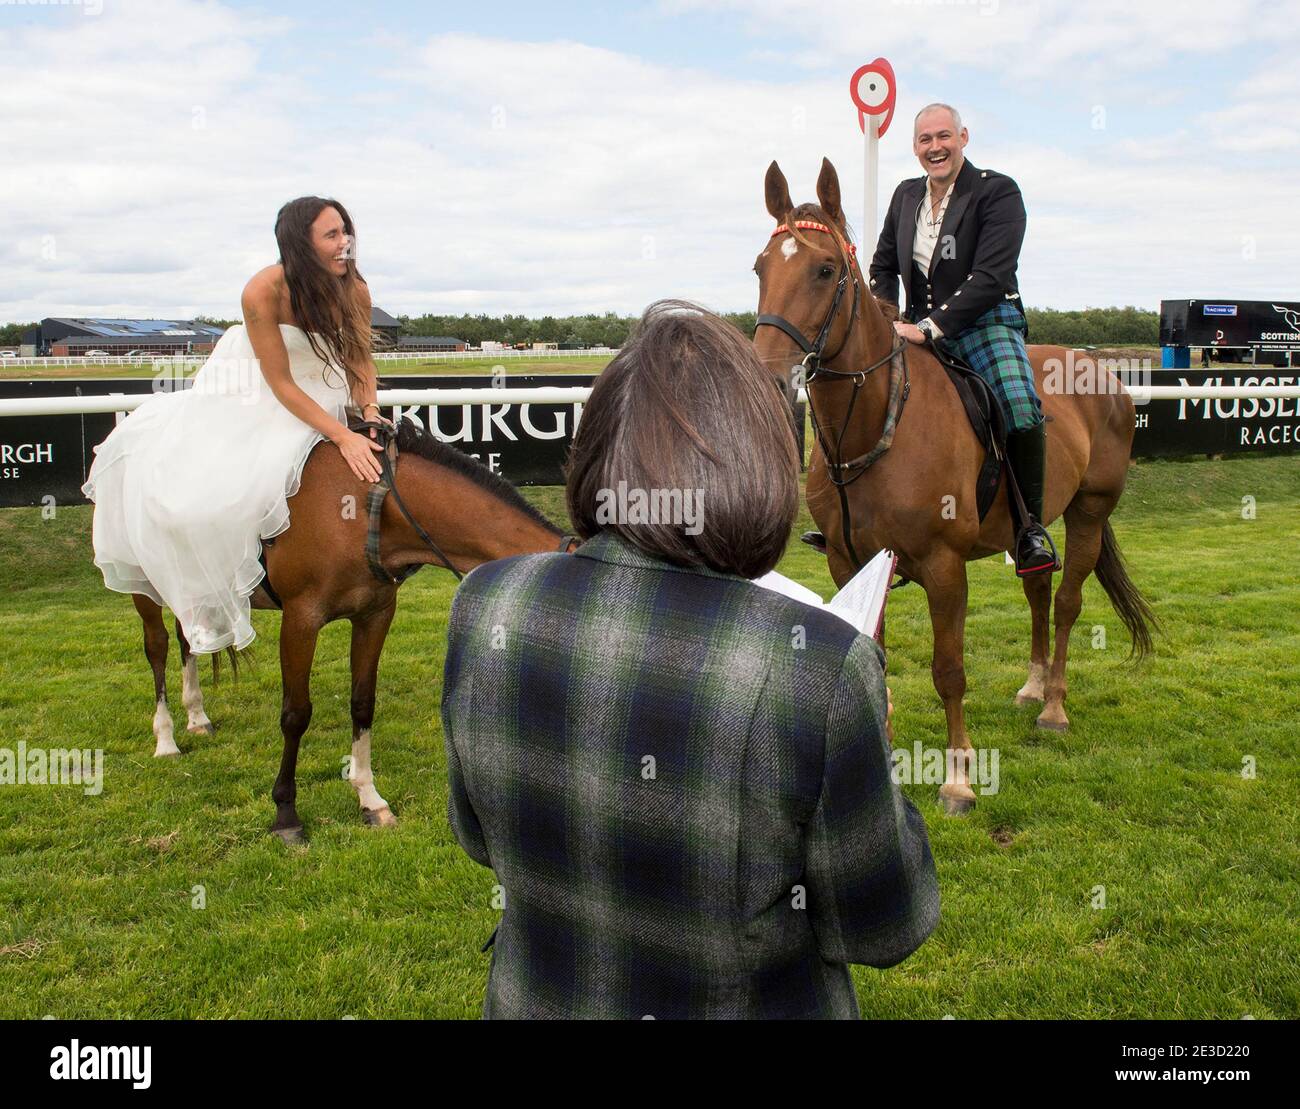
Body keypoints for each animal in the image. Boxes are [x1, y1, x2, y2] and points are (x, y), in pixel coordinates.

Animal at [131, 418, 574, 842]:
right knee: (158, 646)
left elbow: (363, 703)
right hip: (144, 582)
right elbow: (296, 714)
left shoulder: (375, 614)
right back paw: (166, 738)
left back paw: (196, 716)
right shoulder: (300, 619)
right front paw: (286, 813)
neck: (372, 506)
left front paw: (369, 798)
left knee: (187, 639)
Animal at [754, 157, 1159, 811]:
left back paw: (1053, 708)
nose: (768, 376)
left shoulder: (945, 567)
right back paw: (1032, 685)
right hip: (1029, 523)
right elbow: (873, 660)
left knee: (1067, 603)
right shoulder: (849, 562)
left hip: (1090, 513)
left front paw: (959, 777)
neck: (881, 421)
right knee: (1037, 590)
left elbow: (949, 671)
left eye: (824, 269)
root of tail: (1101, 369)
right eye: (761, 268)